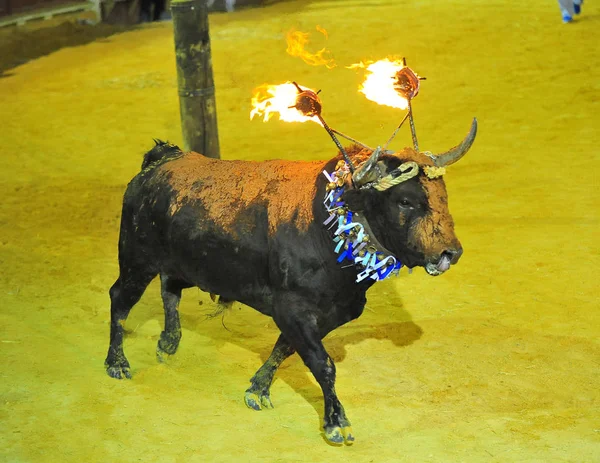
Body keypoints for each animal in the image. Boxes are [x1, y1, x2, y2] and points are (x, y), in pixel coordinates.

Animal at [104, 121, 478, 448]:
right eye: (404, 201)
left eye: (443, 194)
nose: (450, 252)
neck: (330, 225)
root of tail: (163, 159)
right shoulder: (292, 309)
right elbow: (322, 364)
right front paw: (337, 424)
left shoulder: (327, 314)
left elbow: (286, 350)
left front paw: (258, 389)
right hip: (136, 260)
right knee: (120, 300)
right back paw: (117, 363)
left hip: (176, 263)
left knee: (170, 288)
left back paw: (168, 342)